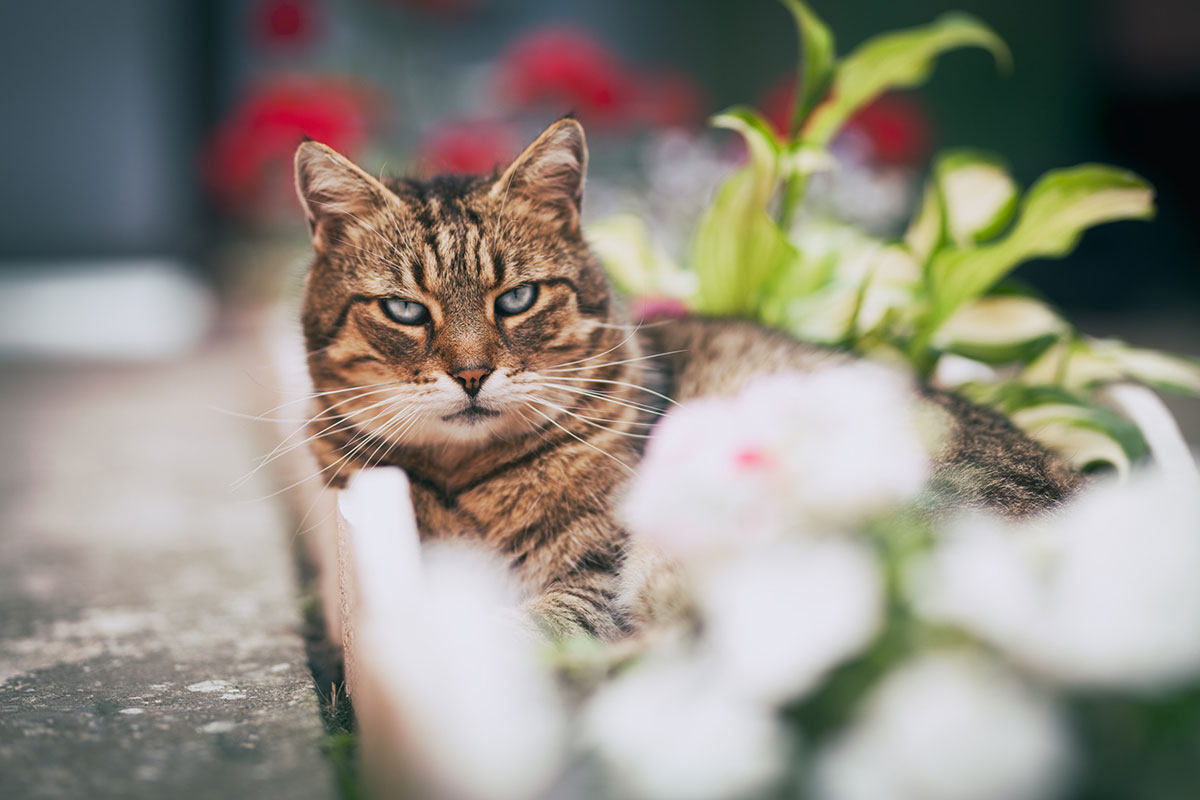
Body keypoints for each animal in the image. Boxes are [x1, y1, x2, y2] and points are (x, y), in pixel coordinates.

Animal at [295, 117, 1084, 638]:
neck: (467, 481)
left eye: (517, 298)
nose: (471, 373)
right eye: (403, 309)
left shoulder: (596, 575)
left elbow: (532, 629)